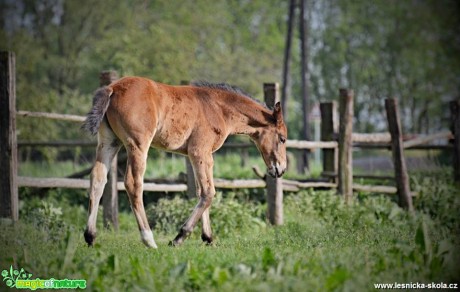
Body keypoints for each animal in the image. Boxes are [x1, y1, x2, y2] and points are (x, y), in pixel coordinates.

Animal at [81, 76, 286, 248]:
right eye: (282, 138)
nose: (281, 169)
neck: (217, 108)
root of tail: (113, 88)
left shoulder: (195, 155)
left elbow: (200, 191)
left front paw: (208, 238)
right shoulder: (201, 152)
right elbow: (209, 192)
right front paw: (180, 237)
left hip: (109, 142)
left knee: (97, 179)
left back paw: (90, 236)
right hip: (137, 145)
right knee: (133, 184)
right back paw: (149, 240)